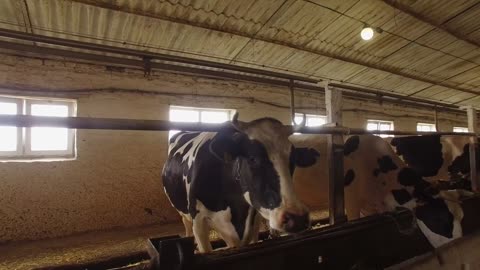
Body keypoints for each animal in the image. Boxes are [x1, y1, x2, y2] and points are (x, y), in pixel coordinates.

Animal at [161, 114, 312, 253]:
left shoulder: (253, 221)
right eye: (252, 158)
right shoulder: (198, 221)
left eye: (293, 159)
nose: (297, 218)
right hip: (184, 214)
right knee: (186, 225)